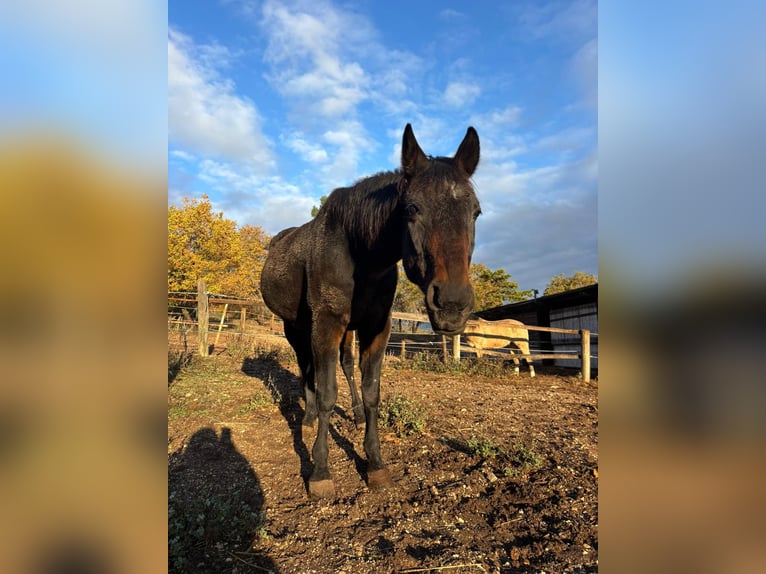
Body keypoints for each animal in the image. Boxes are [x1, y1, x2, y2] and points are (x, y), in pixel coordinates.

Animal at [260, 124, 481, 498]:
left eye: (476, 212)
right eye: (412, 208)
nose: (452, 304)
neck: (358, 251)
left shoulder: (376, 326)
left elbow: (371, 392)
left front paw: (375, 464)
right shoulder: (326, 324)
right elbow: (326, 394)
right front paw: (320, 472)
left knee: (343, 367)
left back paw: (349, 415)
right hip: (295, 326)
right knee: (307, 367)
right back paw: (307, 419)